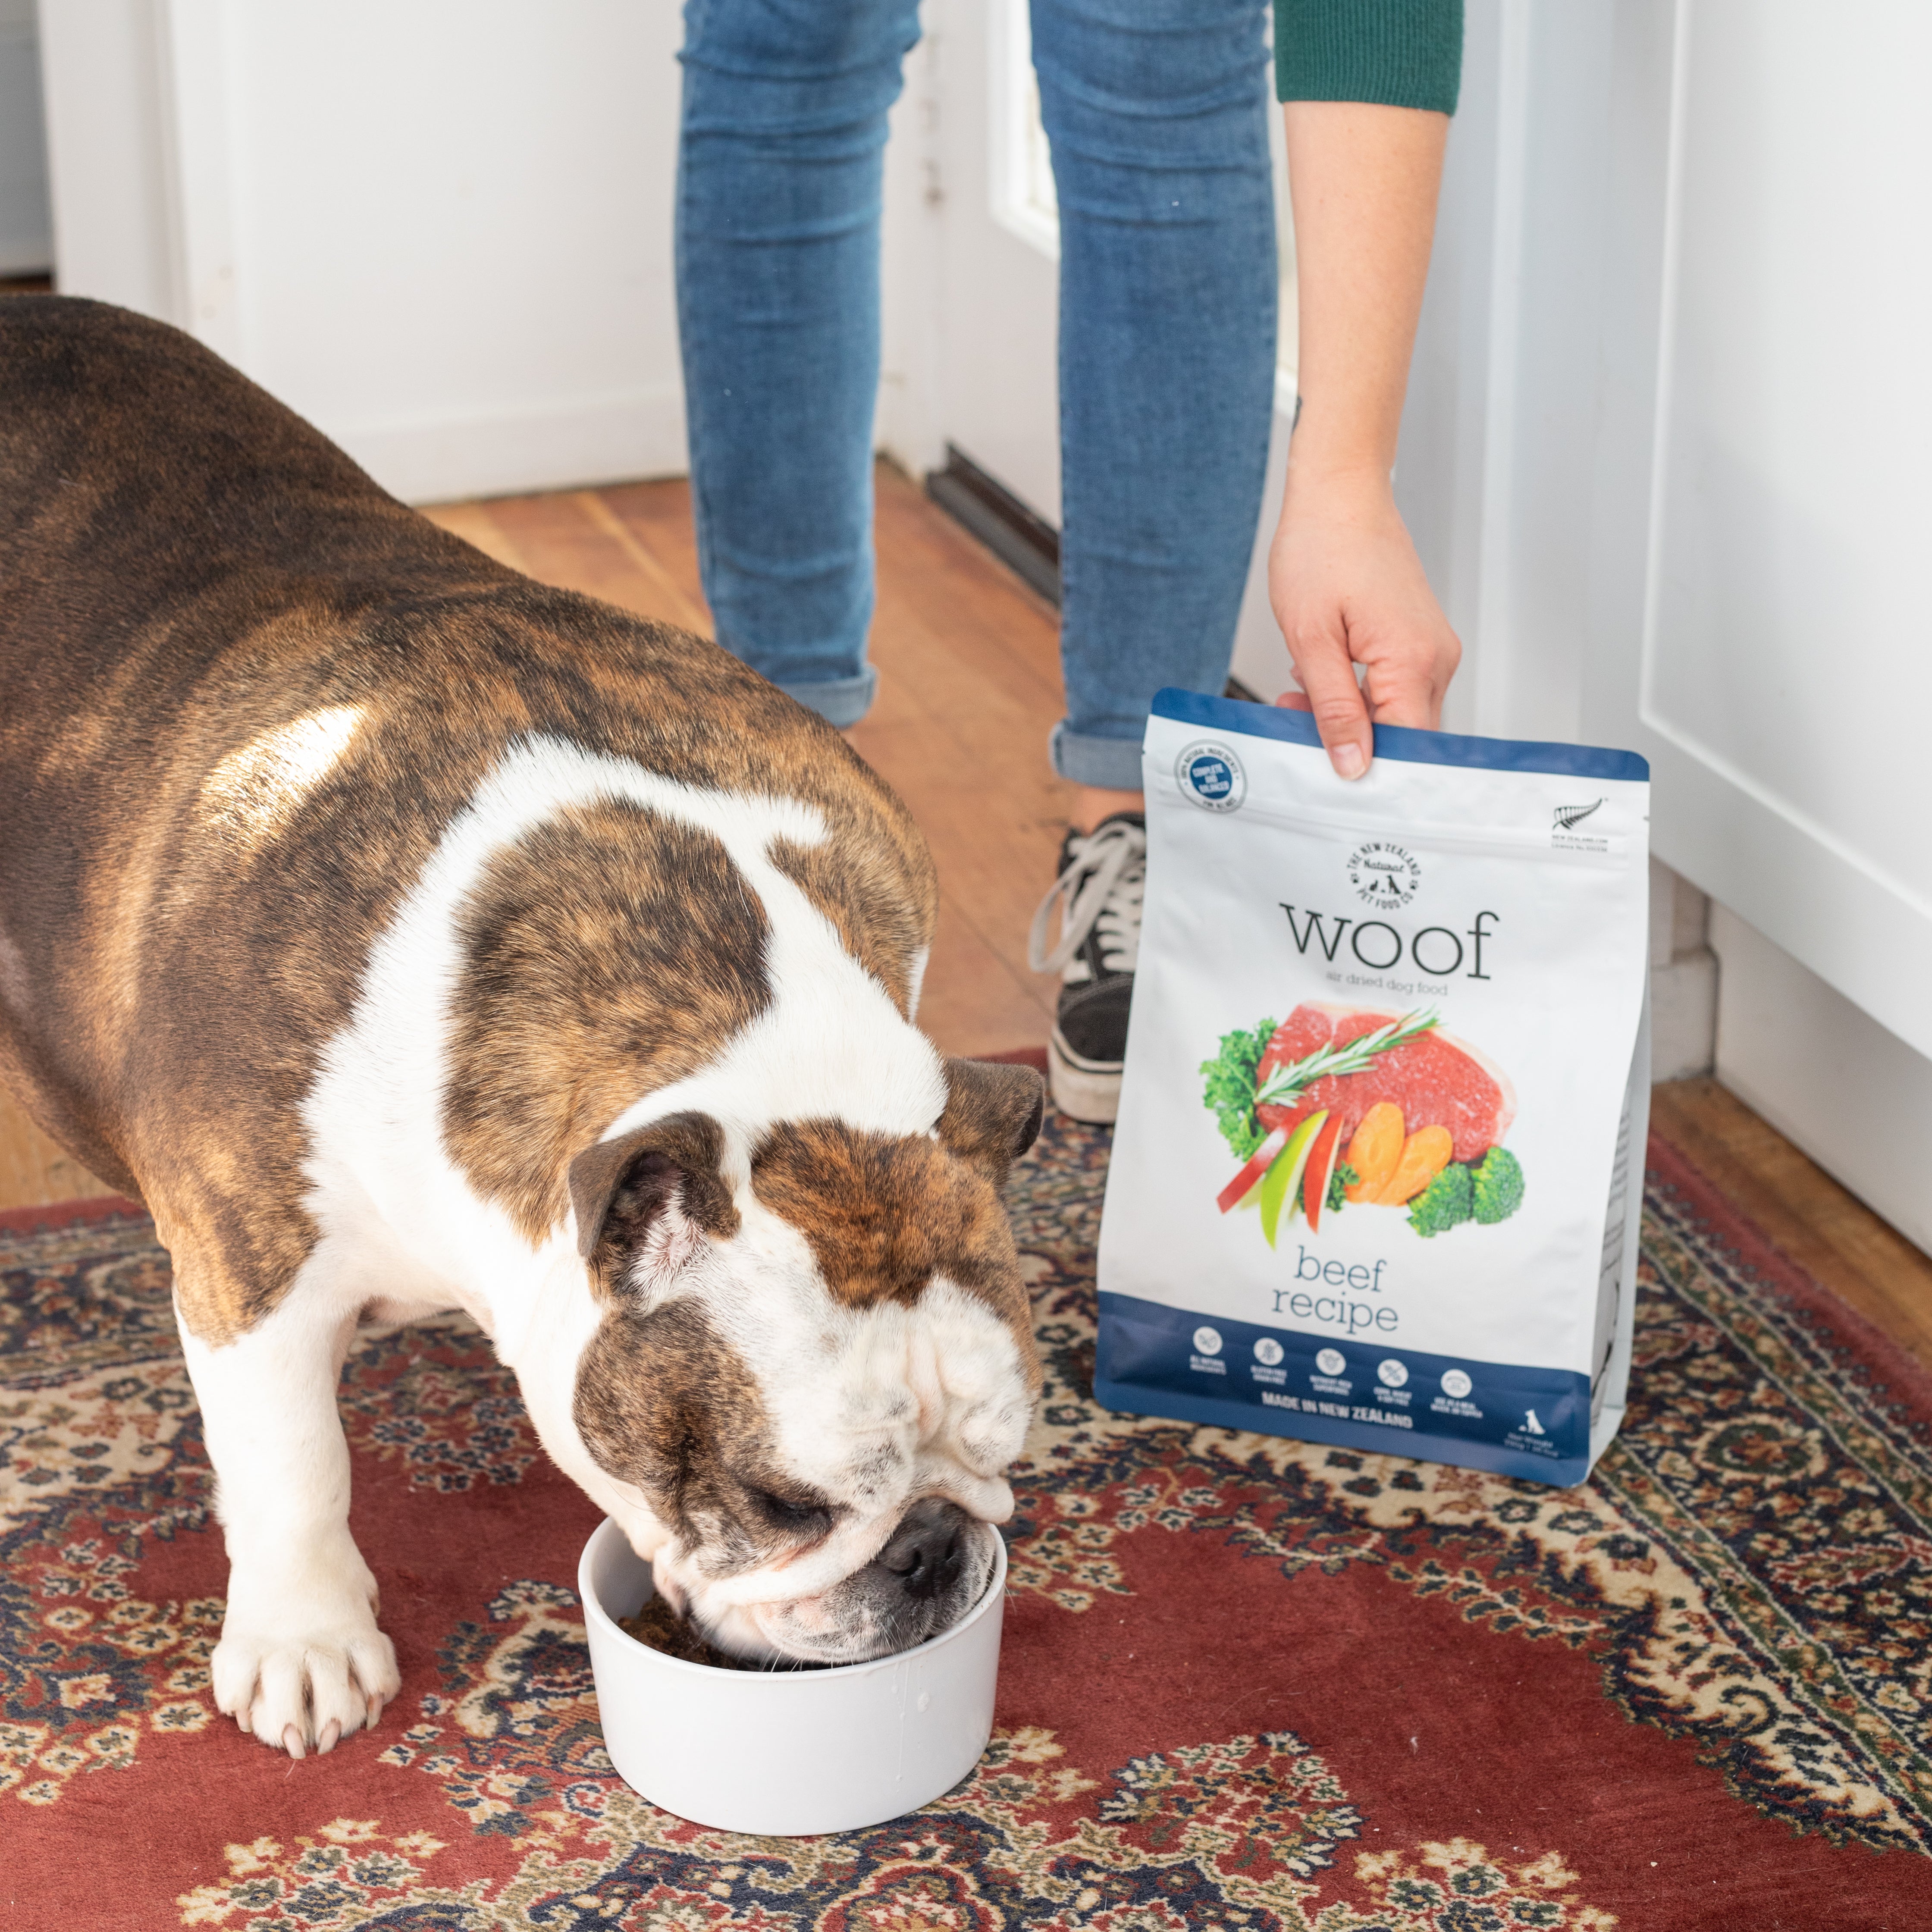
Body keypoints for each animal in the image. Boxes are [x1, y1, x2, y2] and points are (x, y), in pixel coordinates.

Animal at [0, 293, 1051, 1762]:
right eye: (783, 1502)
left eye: (1001, 1458)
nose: (933, 1550)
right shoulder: (249, 1268)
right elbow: (292, 1464)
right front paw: (306, 1639)